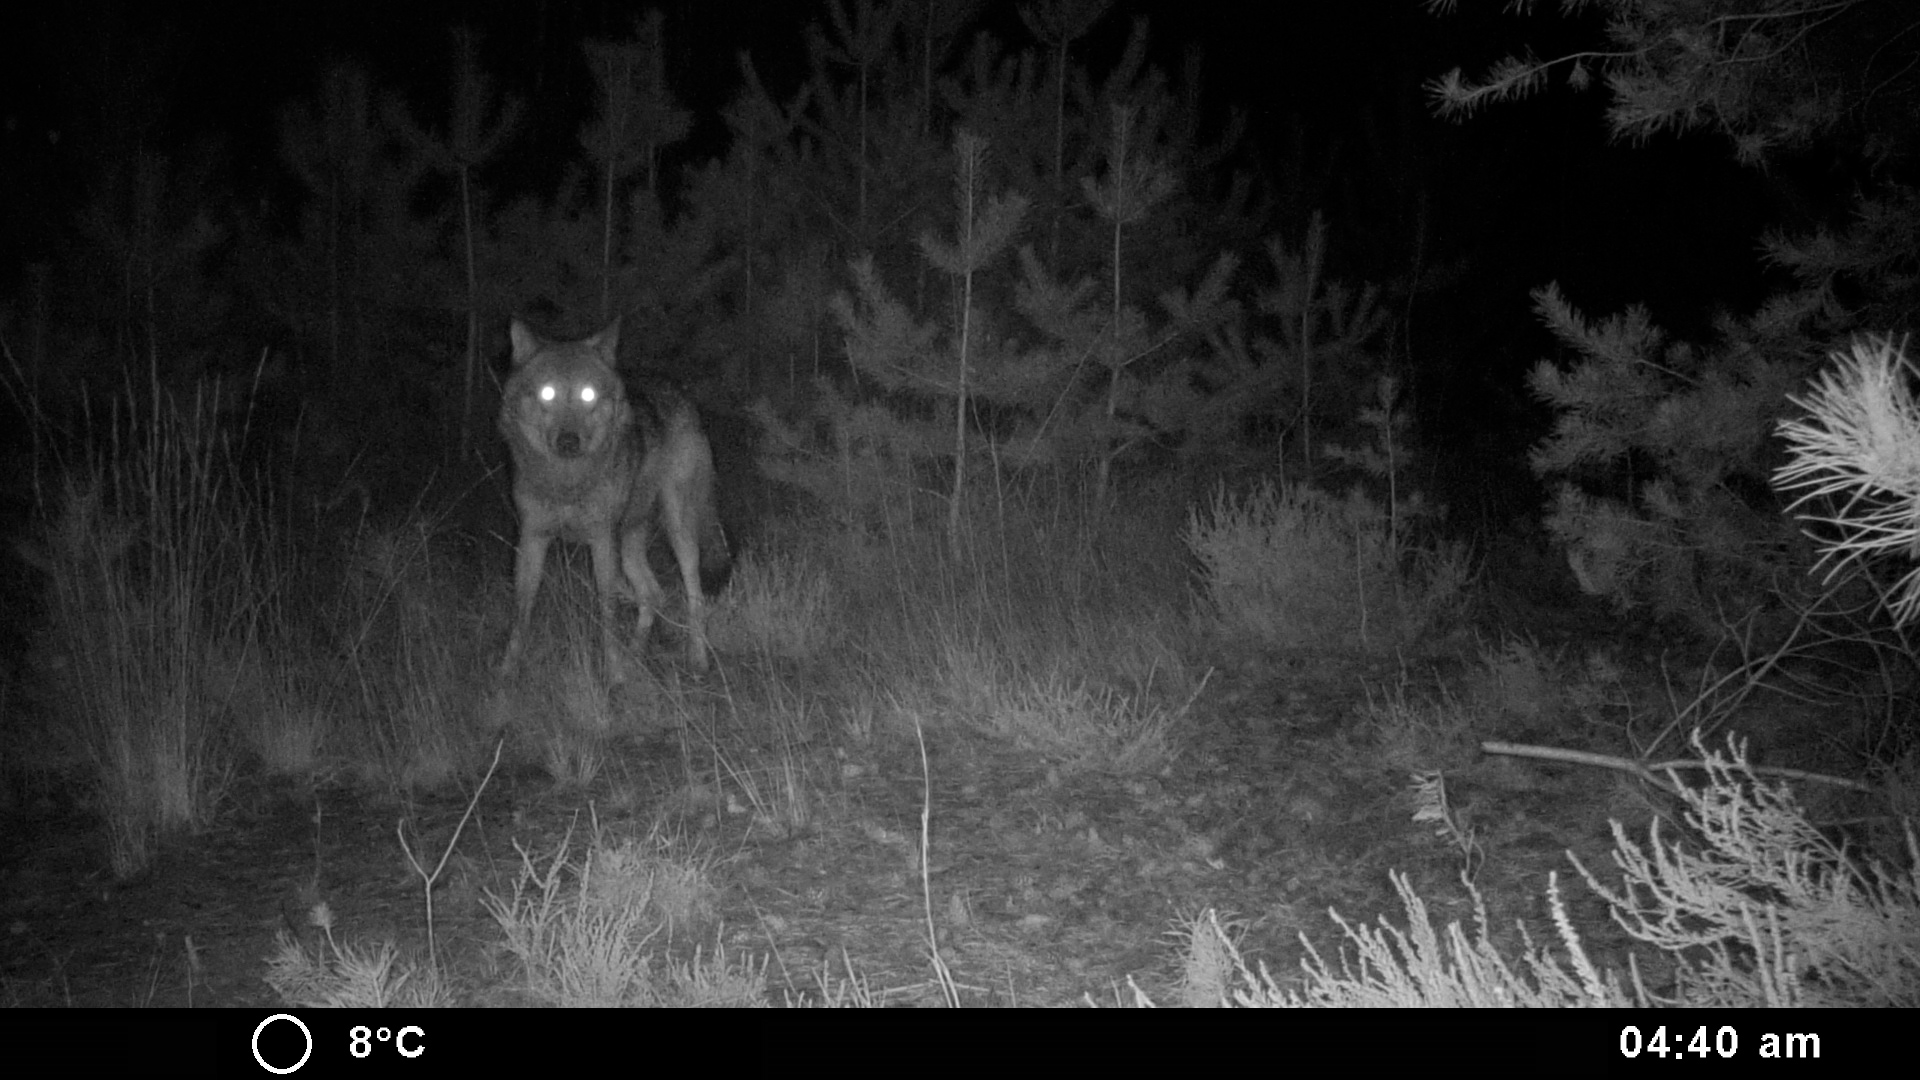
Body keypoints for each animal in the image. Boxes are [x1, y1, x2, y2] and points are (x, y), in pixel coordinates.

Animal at [495, 315, 725, 676]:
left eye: (588, 394)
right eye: (547, 393)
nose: (568, 441)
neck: (568, 483)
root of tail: (679, 391)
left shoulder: (602, 540)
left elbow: (607, 613)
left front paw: (614, 673)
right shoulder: (532, 537)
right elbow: (522, 611)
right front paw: (508, 670)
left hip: (678, 530)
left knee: (694, 596)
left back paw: (697, 659)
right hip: (629, 542)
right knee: (652, 594)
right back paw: (636, 654)